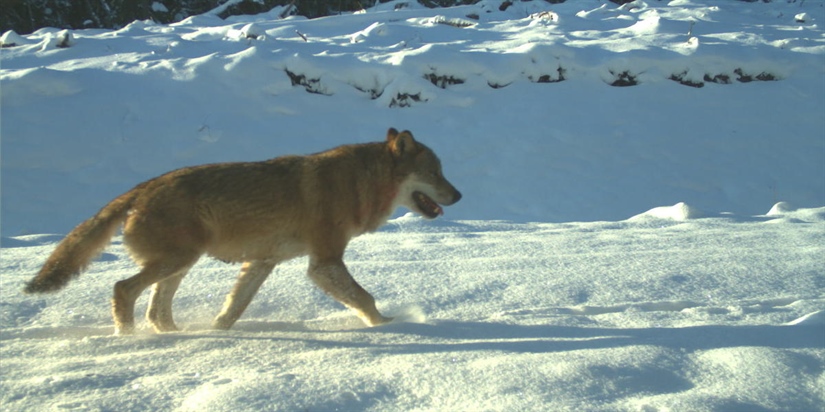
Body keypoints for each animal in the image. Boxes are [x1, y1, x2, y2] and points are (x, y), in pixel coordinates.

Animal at [25, 128, 460, 334]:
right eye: (436, 173)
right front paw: (390, 326)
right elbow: (364, 298)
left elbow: (232, 310)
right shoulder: (323, 262)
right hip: (177, 260)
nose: (459, 195)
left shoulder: (261, 263)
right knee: (122, 289)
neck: (359, 183)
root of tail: (141, 187)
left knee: (156, 308)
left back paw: (174, 335)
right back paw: (130, 337)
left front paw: (217, 333)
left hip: (182, 264)